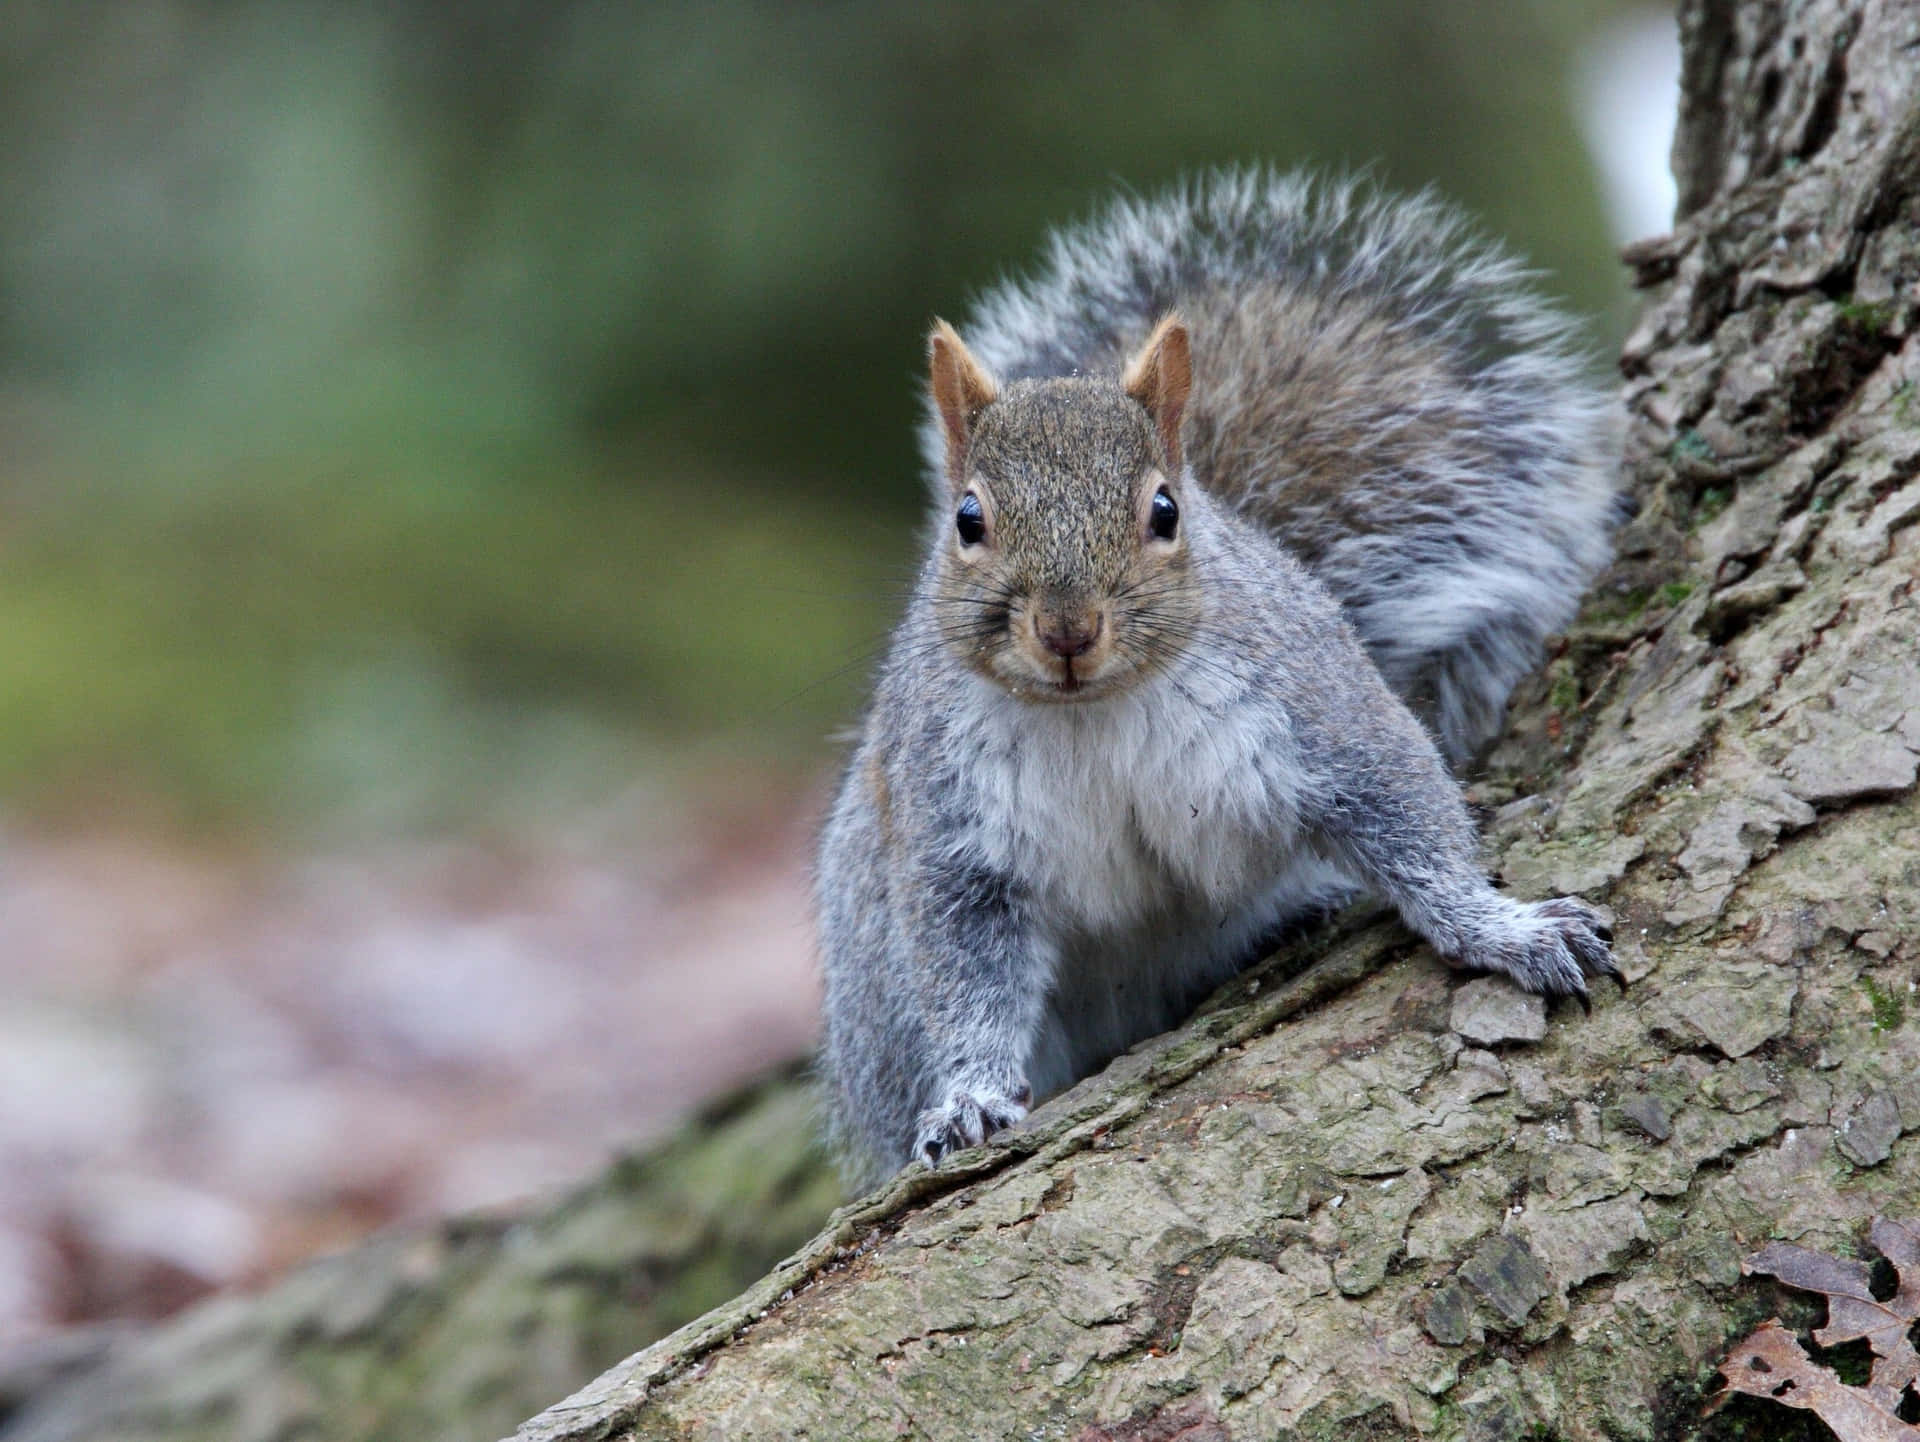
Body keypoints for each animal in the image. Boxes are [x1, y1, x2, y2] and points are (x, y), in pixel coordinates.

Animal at [810, 168, 1620, 1190]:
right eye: (966, 520)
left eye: (1165, 511)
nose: (1068, 630)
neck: (1095, 709)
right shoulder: (951, 821)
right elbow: (967, 973)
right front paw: (969, 1099)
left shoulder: (1316, 706)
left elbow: (1412, 816)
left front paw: (1505, 931)